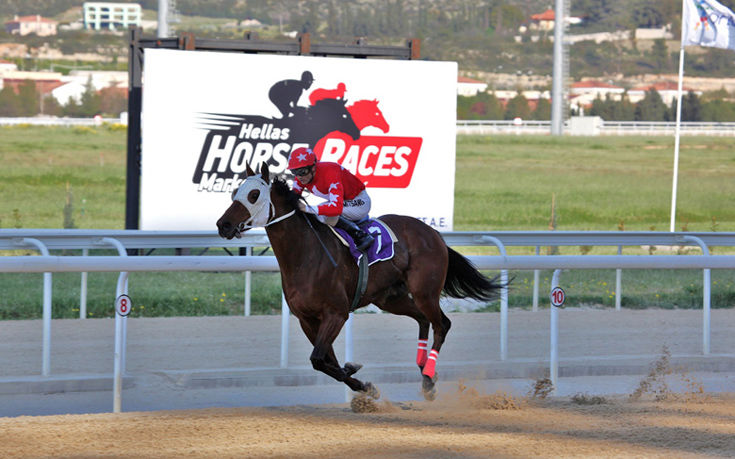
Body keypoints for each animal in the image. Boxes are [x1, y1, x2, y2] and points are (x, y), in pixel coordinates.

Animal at [216, 164, 504, 400]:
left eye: (254, 195)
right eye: (235, 193)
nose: (223, 225)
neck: (305, 255)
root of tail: (433, 233)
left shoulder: (336, 313)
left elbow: (319, 359)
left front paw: (359, 378)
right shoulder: (307, 319)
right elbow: (326, 361)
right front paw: (358, 379)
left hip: (425, 291)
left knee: (442, 324)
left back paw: (428, 377)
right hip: (390, 298)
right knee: (423, 320)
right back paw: (423, 368)